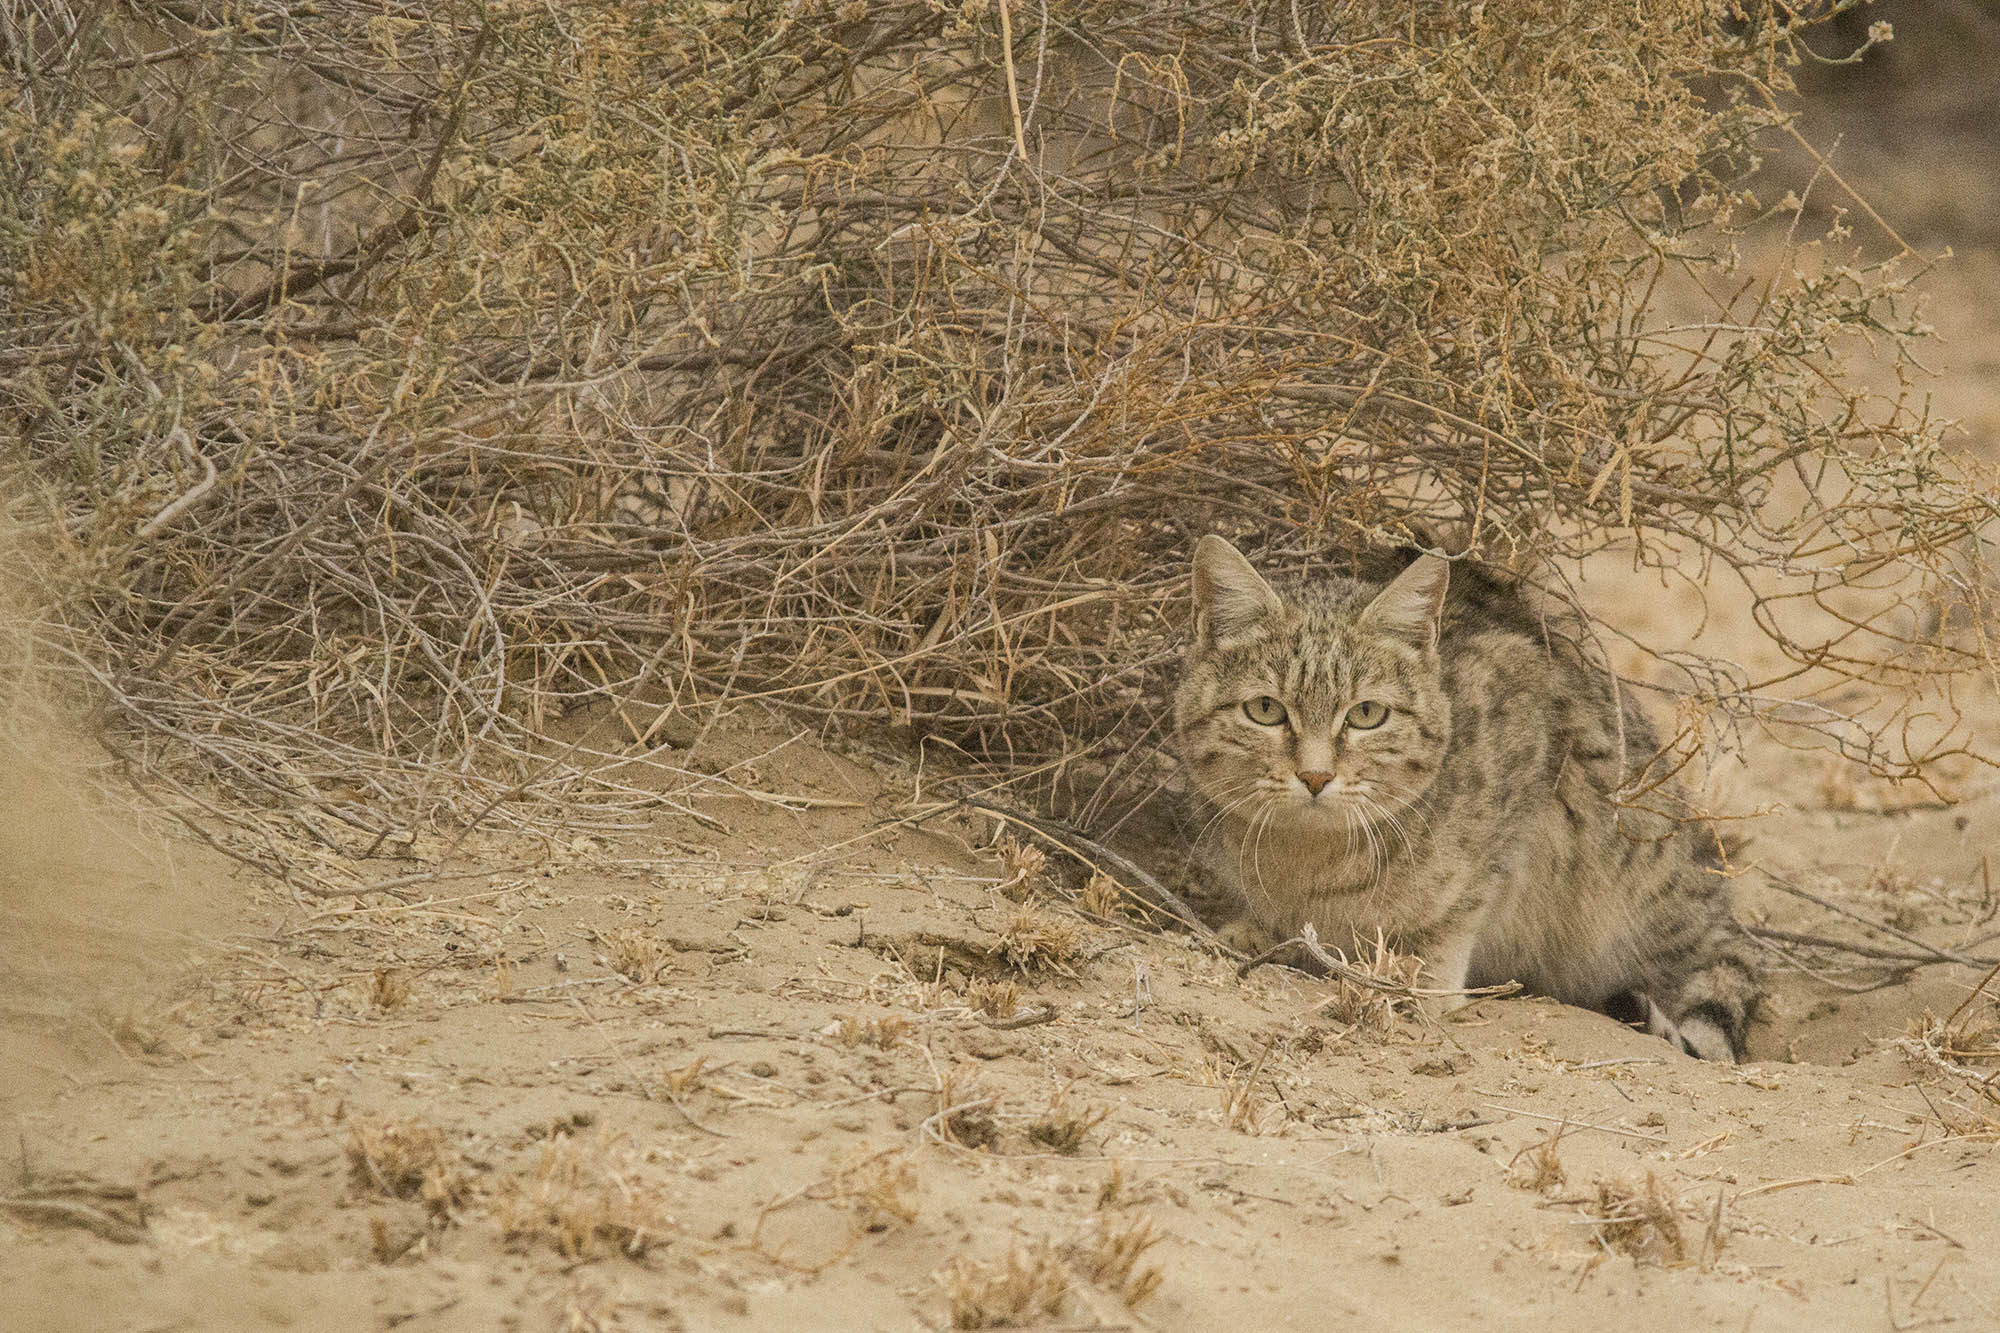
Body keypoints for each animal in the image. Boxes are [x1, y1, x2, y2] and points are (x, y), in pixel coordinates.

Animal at [1176, 536, 1760, 1056]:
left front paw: (1423, 986)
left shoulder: (1530, 746)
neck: (1310, 857)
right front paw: (1256, 932)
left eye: (1367, 714)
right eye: (1265, 710)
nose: (1316, 776)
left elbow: (1460, 909)